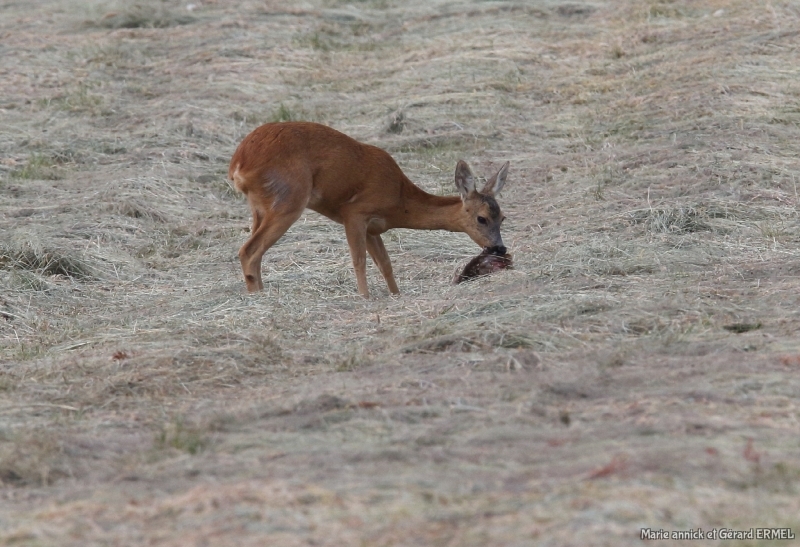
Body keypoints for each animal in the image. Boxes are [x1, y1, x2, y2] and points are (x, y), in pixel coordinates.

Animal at [228, 122, 510, 298]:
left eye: (503, 217)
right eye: (482, 218)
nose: (499, 248)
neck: (399, 201)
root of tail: (238, 162)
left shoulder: (374, 228)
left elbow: (385, 263)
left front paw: (396, 295)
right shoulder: (355, 213)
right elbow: (359, 260)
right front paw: (365, 297)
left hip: (259, 205)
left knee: (254, 251)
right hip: (289, 199)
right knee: (249, 250)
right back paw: (258, 298)